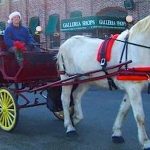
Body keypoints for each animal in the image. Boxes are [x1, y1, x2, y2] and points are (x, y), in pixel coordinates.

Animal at [56, 15, 150, 149]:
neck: (136, 49)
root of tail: (65, 43)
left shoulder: (131, 88)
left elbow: (123, 110)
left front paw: (117, 133)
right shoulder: (133, 88)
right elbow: (140, 116)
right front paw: (146, 142)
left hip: (87, 79)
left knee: (76, 95)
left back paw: (76, 118)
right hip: (67, 77)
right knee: (65, 99)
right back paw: (69, 127)